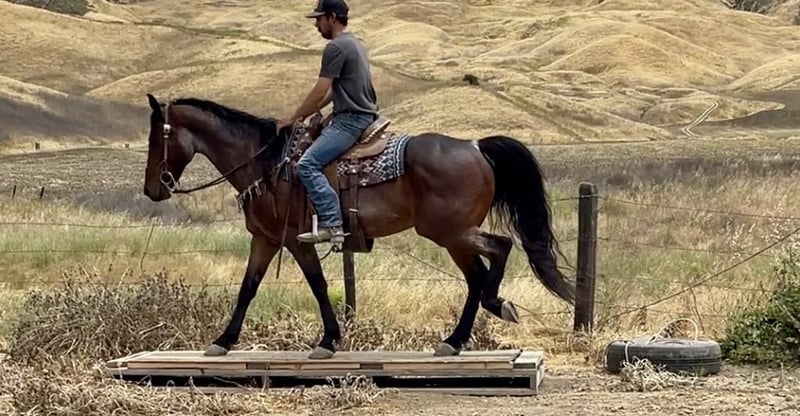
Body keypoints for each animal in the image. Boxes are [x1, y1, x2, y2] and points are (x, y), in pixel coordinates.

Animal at [142, 93, 575, 359]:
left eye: (155, 140)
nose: (152, 189)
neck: (265, 162)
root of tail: (474, 146)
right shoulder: (265, 239)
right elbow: (248, 288)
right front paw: (223, 341)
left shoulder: (297, 241)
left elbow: (317, 285)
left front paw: (329, 340)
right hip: (452, 237)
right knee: (476, 276)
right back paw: (454, 340)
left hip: (448, 232)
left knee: (500, 248)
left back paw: (495, 306)